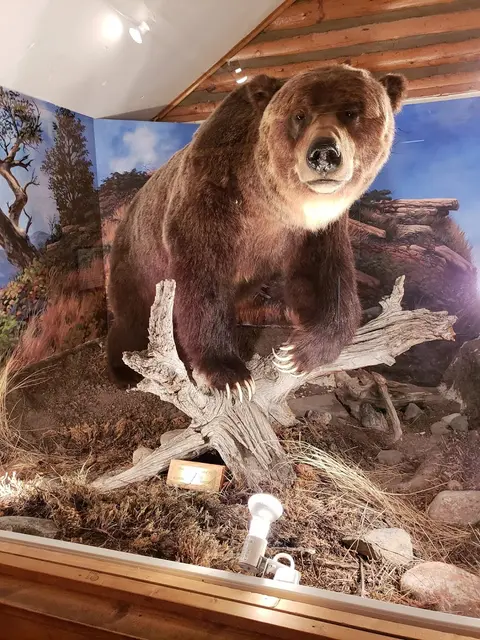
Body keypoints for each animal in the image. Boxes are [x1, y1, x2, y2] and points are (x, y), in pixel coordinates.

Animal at [107, 65, 407, 398]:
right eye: (299, 115)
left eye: (351, 112)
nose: (324, 154)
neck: (271, 203)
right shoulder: (212, 197)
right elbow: (201, 278)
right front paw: (229, 374)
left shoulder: (314, 229)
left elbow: (328, 278)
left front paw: (298, 354)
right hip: (136, 259)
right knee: (133, 317)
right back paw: (125, 370)